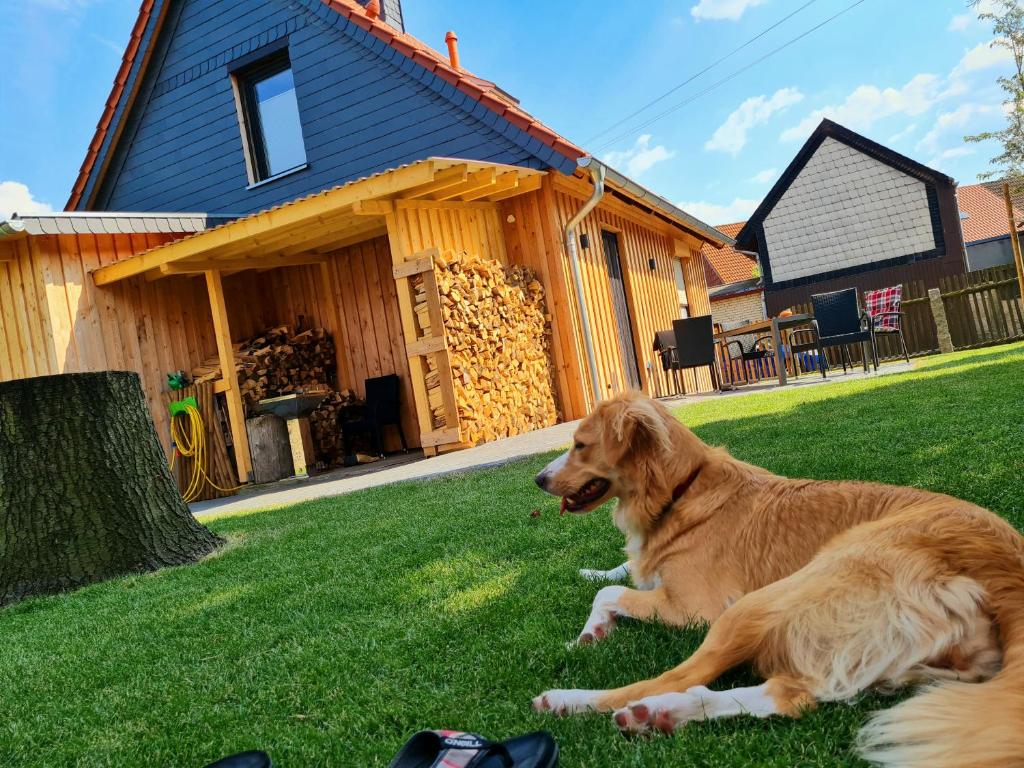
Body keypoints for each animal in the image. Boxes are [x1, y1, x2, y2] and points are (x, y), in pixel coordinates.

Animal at [532, 393, 1019, 765]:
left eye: (579, 445)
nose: (538, 478)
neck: (681, 491)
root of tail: (1007, 570)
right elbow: (619, 574)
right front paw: (594, 604)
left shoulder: (694, 610)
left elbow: (611, 590)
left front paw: (585, 634)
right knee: (788, 697)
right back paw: (662, 714)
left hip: (763, 603)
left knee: (674, 677)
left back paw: (571, 700)